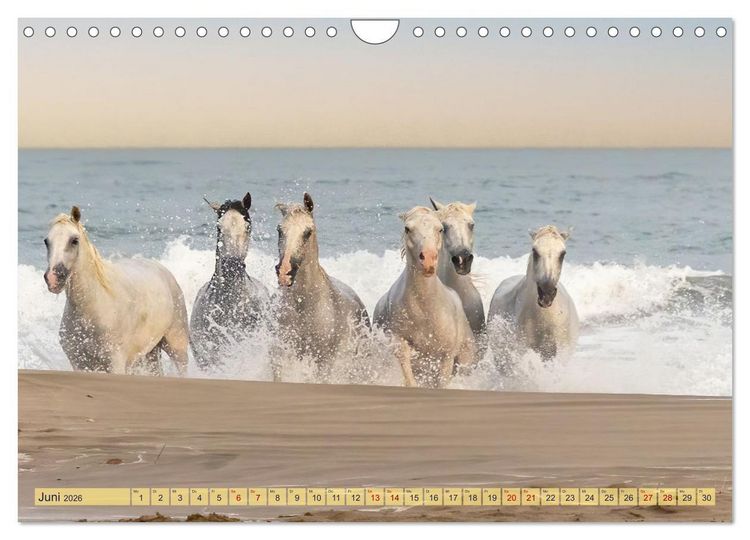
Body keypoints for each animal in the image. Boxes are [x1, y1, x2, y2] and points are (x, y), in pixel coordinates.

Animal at [43, 206, 189, 375]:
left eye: (74, 240)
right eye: (47, 241)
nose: (53, 278)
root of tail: (164, 271)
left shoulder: (116, 363)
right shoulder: (79, 363)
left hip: (177, 348)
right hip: (150, 351)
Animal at [273, 193, 370, 380]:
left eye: (307, 232)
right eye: (279, 230)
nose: (284, 273)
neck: (305, 304)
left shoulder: (324, 360)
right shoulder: (281, 352)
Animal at [373, 206, 475, 388]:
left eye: (440, 229)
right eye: (407, 228)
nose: (428, 260)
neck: (425, 308)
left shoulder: (446, 356)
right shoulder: (400, 344)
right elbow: (409, 376)